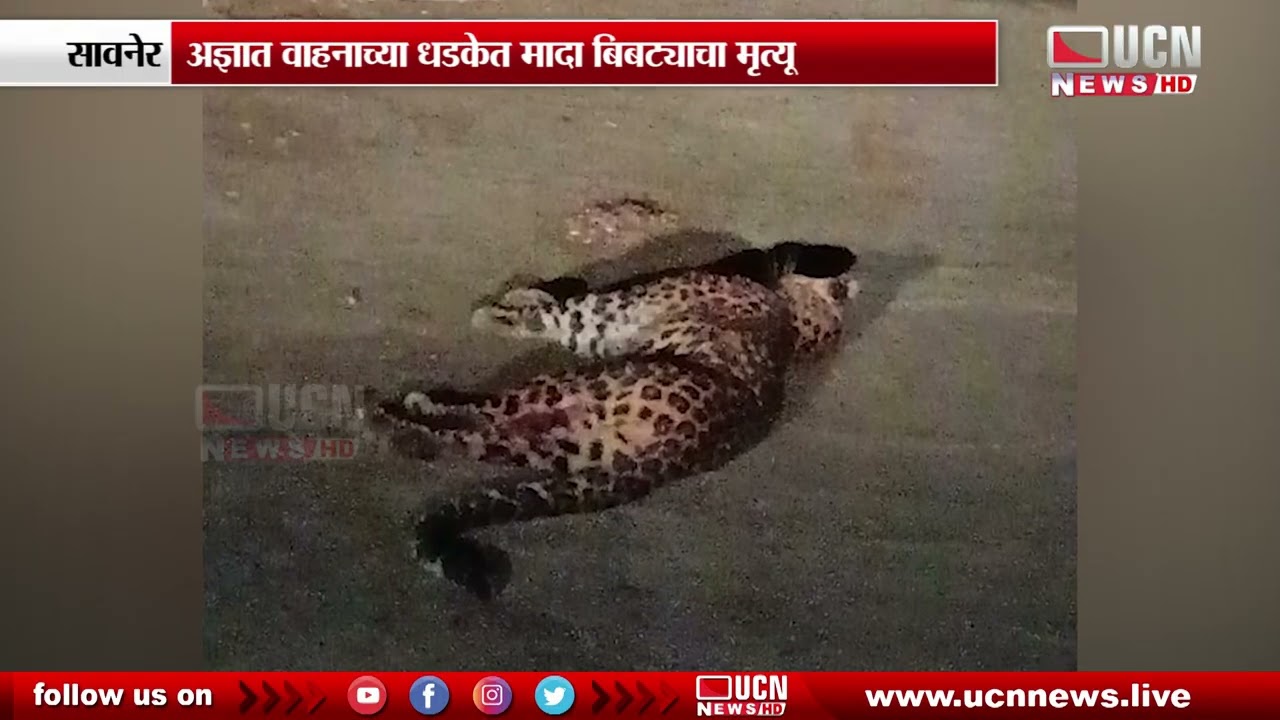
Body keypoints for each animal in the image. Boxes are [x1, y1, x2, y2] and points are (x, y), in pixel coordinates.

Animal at [366, 241, 859, 599]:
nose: (761, 252)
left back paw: (397, 412)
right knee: (477, 441)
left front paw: (499, 311)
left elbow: (558, 311)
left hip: (568, 387)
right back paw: (405, 428)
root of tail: (681, 454)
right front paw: (519, 300)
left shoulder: (598, 320)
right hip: (563, 444)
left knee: (486, 417)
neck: (798, 321)